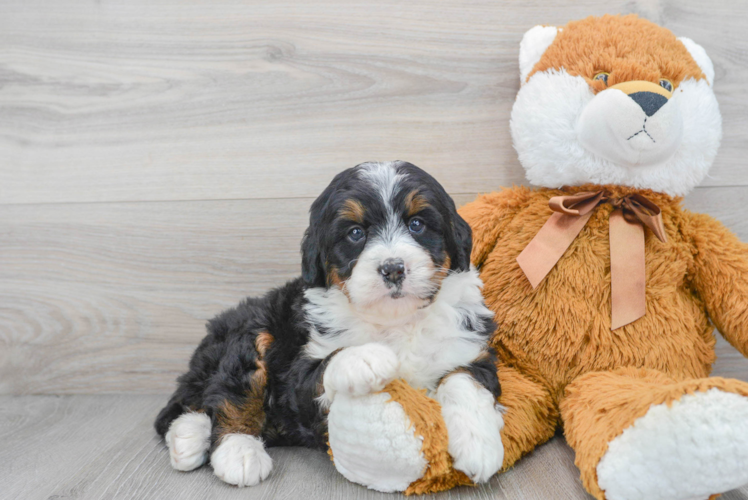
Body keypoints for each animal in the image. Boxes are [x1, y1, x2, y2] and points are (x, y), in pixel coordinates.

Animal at [153, 161, 502, 488]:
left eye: (417, 224)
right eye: (355, 233)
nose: (393, 268)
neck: (396, 320)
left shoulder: (469, 349)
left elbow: (464, 380)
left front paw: (479, 445)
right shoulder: (298, 375)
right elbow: (329, 363)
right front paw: (366, 357)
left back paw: (191, 436)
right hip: (253, 329)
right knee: (226, 392)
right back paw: (231, 449)